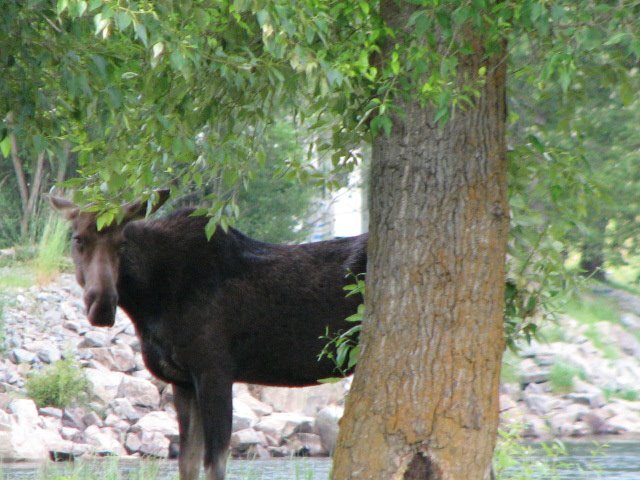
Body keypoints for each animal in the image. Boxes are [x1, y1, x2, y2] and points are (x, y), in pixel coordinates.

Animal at [50, 191, 368, 480]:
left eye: (122, 243)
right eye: (77, 238)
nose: (103, 304)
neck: (149, 304)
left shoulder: (214, 371)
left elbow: (214, 464)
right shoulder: (182, 380)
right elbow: (187, 464)